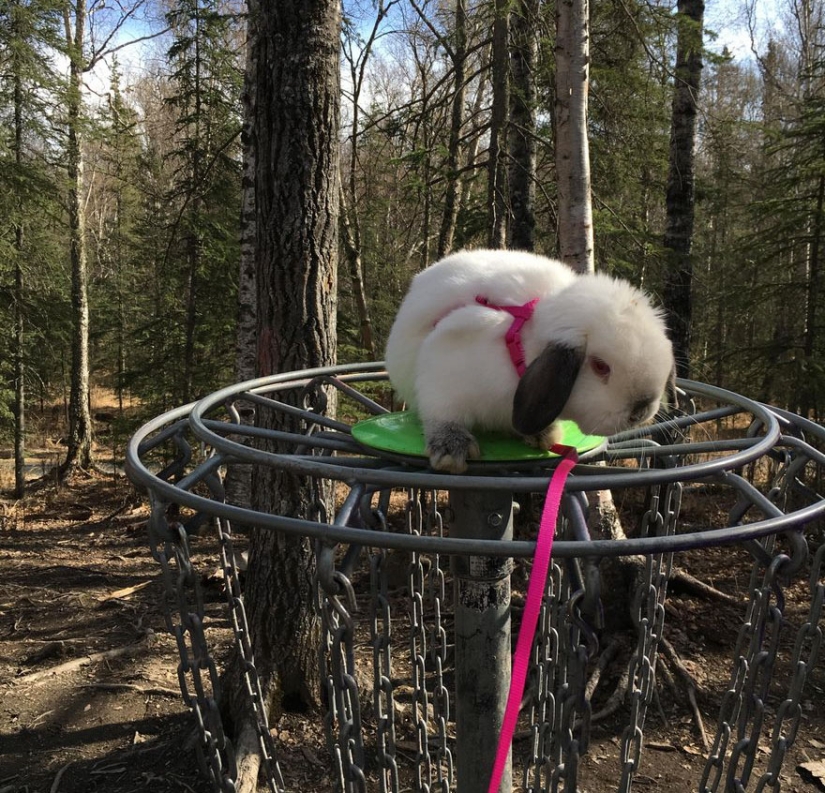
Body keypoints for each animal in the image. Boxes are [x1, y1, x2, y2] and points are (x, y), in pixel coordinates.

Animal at [384, 249, 672, 470]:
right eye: (600, 366)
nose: (642, 410)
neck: (524, 342)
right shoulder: (444, 370)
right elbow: (442, 414)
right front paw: (451, 449)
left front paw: (544, 435)